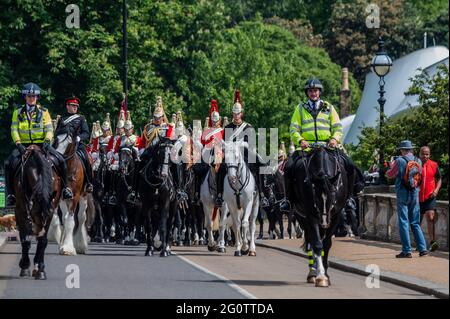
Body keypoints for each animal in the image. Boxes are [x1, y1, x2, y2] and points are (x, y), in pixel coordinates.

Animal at [14, 145, 61, 280]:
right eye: (34, 212)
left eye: (47, 213)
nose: (38, 232)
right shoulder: (21, 210)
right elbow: (25, 239)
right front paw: (25, 266)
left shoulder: (51, 211)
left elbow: (43, 241)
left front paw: (40, 269)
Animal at [288, 145, 352, 288]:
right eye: (315, 196)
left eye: (333, 195)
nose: (324, 221)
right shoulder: (311, 216)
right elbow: (317, 244)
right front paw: (321, 276)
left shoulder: (336, 216)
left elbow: (326, 244)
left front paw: (326, 274)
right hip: (302, 218)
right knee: (311, 241)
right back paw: (313, 272)